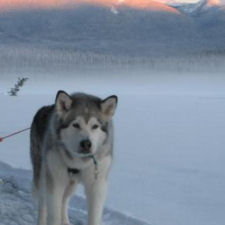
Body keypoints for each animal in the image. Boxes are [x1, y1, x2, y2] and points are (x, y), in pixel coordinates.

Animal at [30, 91, 118, 225]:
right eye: (75, 124)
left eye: (95, 126)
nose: (86, 143)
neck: (79, 162)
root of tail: (42, 109)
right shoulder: (55, 181)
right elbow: (54, 215)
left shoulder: (97, 185)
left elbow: (94, 217)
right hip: (43, 175)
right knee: (43, 202)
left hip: (71, 184)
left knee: (64, 201)